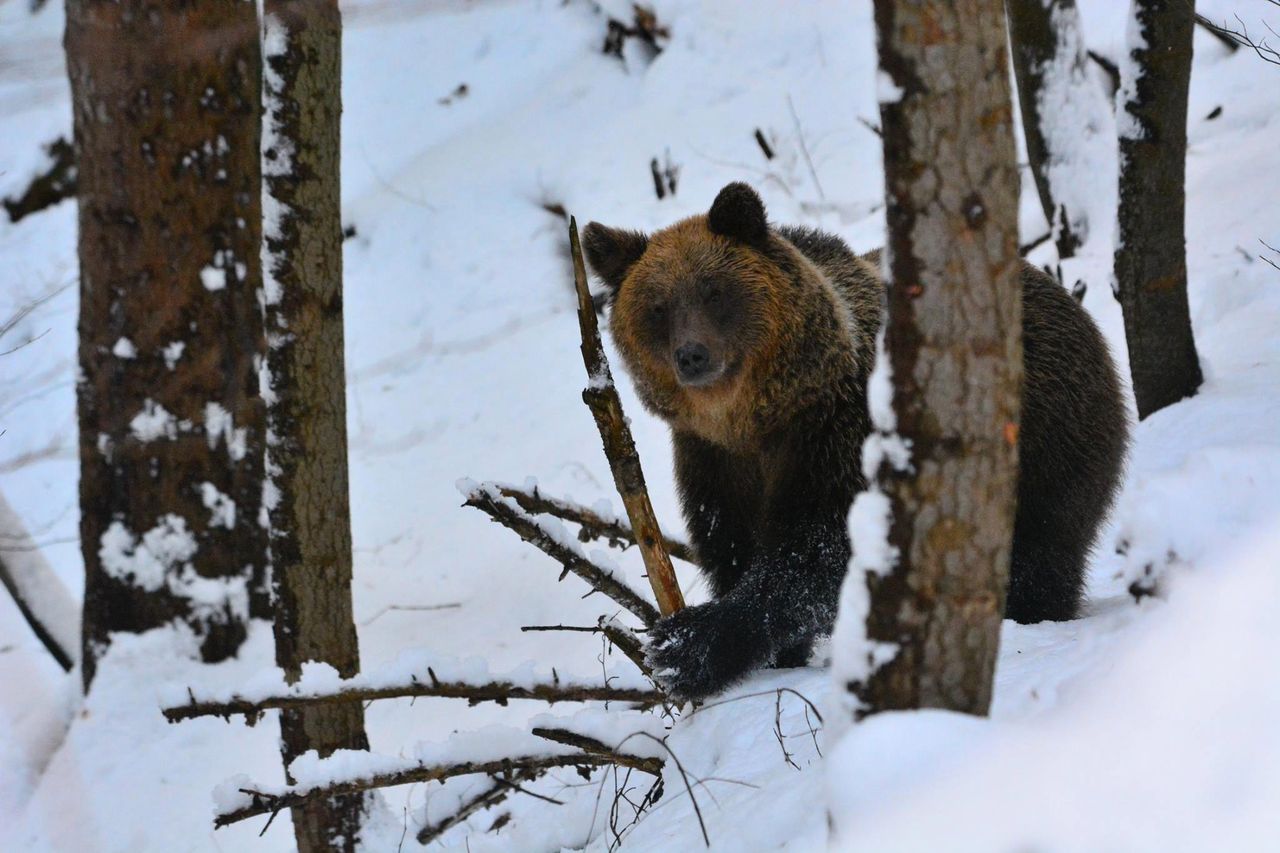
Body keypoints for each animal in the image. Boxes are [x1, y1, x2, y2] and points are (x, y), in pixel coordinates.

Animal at [586, 183, 1126, 701]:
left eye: (714, 292)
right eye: (658, 307)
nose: (692, 354)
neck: (756, 419)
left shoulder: (839, 434)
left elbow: (820, 553)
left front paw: (687, 646)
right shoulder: (714, 463)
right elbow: (731, 549)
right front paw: (765, 656)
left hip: (1051, 439)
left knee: (1043, 548)